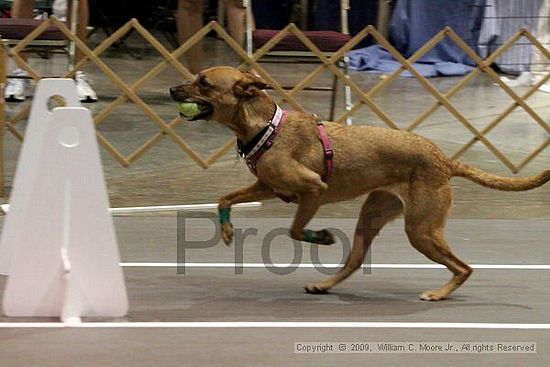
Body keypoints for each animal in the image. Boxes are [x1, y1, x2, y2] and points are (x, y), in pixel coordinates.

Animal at [171, 66, 550, 302]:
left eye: (203, 82)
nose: (173, 89)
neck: (266, 127)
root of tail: (444, 160)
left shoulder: (313, 190)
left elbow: (295, 230)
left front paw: (321, 237)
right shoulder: (268, 187)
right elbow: (224, 198)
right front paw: (226, 231)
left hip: (421, 229)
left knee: (464, 267)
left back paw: (438, 294)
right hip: (372, 217)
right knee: (353, 261)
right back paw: (324, 285)